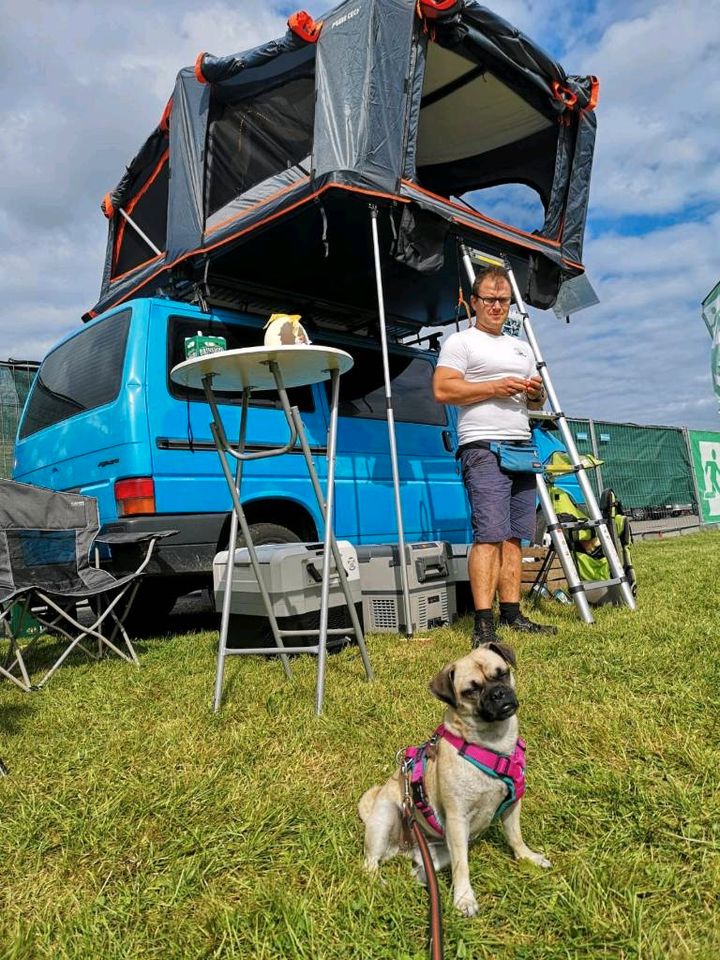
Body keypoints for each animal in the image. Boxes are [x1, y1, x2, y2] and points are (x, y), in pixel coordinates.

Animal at [356, 640, 552, 920]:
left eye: (502, 673)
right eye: (471, 690)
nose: (498, 693)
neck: (493, 745)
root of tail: (404, 847)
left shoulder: (512, 806)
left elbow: (515, 836)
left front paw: (527, 857)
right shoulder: (458, 820)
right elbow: (463, 867)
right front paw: (464, 898)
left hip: (436, 849)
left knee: (422, 867)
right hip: (386, 817)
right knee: (370, 863)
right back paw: (380, 883)